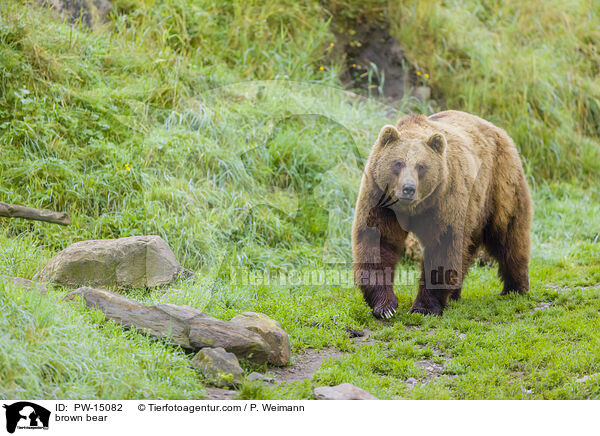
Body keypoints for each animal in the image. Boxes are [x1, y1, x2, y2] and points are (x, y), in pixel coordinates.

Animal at [354, 110, 532, 318]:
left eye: (421, 166)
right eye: (398, 163)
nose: (408, 189)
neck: (414, 208)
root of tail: (499, 130)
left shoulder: (445, 199)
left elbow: (442, 245)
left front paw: (423, 307)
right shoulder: (380, 197)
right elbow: (378, 241)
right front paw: (385, 306)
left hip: (499, 185)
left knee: (508, 235)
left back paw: (514, 288)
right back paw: (455, 293)